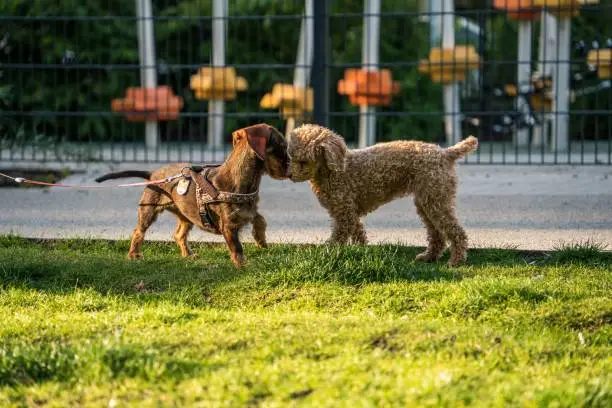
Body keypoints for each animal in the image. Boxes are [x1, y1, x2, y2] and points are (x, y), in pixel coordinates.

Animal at [95, 122, 290, 266]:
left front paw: (261, 240)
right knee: (138, 231)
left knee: (179, 235)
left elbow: (260, 219)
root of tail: (152, 174)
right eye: (282, 146)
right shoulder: (228, 226)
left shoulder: (249, 210)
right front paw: (243, 265)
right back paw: (134, 255)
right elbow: (237, 247)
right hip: (149, 210)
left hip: (186, 215)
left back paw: (188, 255)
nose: (290, 168)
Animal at [286, 122, 478, 266]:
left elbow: (338, 237)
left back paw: (456, 260)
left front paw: (327, 253)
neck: (333, 172)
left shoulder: (345, 214)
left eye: (303, 161)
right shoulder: (350, 213)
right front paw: (360, 251)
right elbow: (359, 234)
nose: (289, 175)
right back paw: (429, 256)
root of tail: (445, 153)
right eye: (291, 156)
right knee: (437, 234)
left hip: (436, 200)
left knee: (456, 232)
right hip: (427, 201)